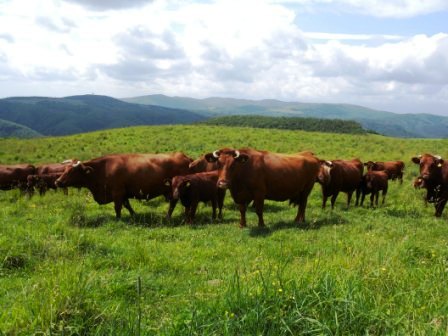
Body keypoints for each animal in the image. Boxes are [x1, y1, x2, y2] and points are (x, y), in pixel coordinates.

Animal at [55, 152, 192, 218]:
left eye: (72, 171)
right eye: (65, 169)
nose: (58, 181)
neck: (103, 169)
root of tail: (184, 157)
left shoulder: (117, 192)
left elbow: (118, 208)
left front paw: (118, 219)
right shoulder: (124, 193)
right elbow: (127, 205)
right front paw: (133, 215)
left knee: (174, 203)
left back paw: (169, 217)